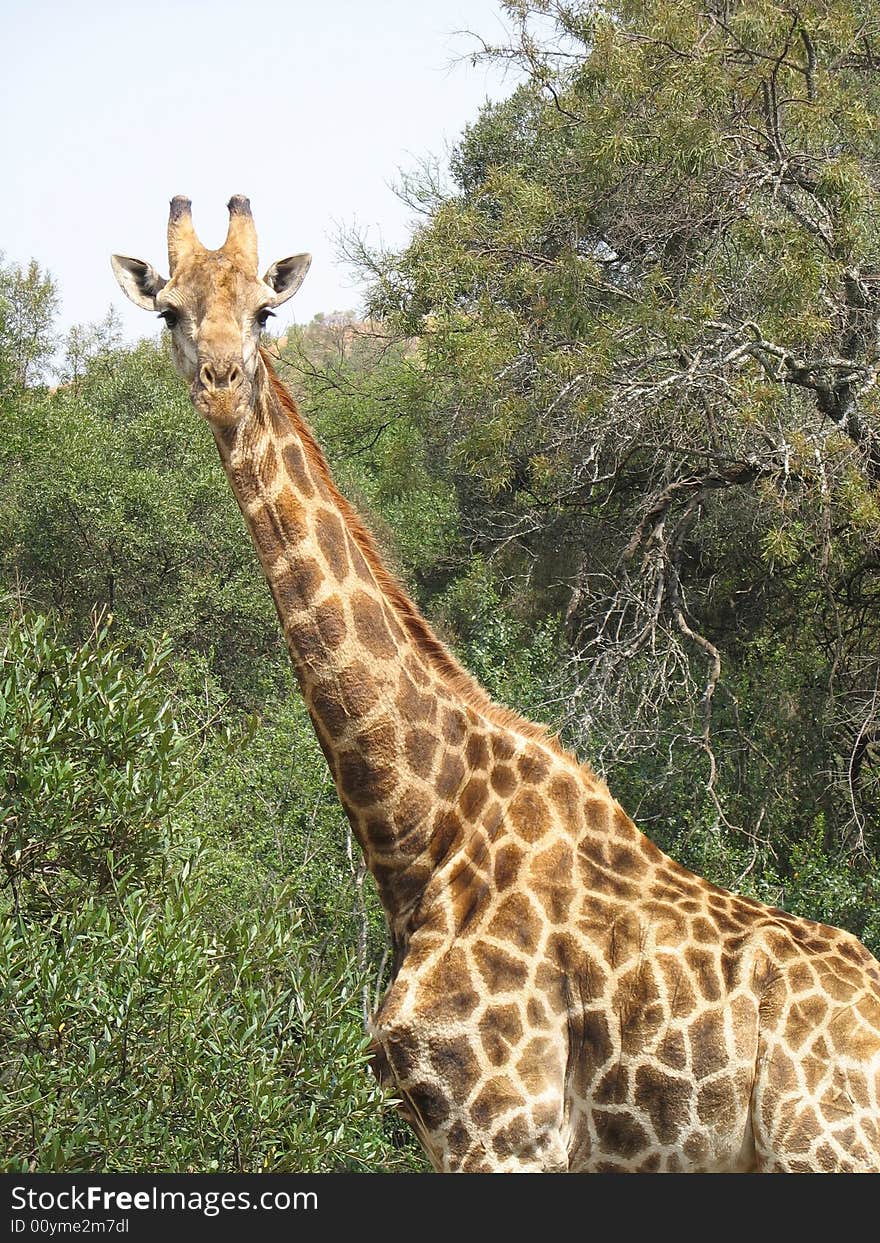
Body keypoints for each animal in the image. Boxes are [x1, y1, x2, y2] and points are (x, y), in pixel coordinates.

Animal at [111, 196, 879, 1173]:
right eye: (169, 311)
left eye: (265, 313)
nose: (218, 380)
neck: (422, 832)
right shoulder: (452, 1133)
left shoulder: (505, 1127)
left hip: (821, 1146)